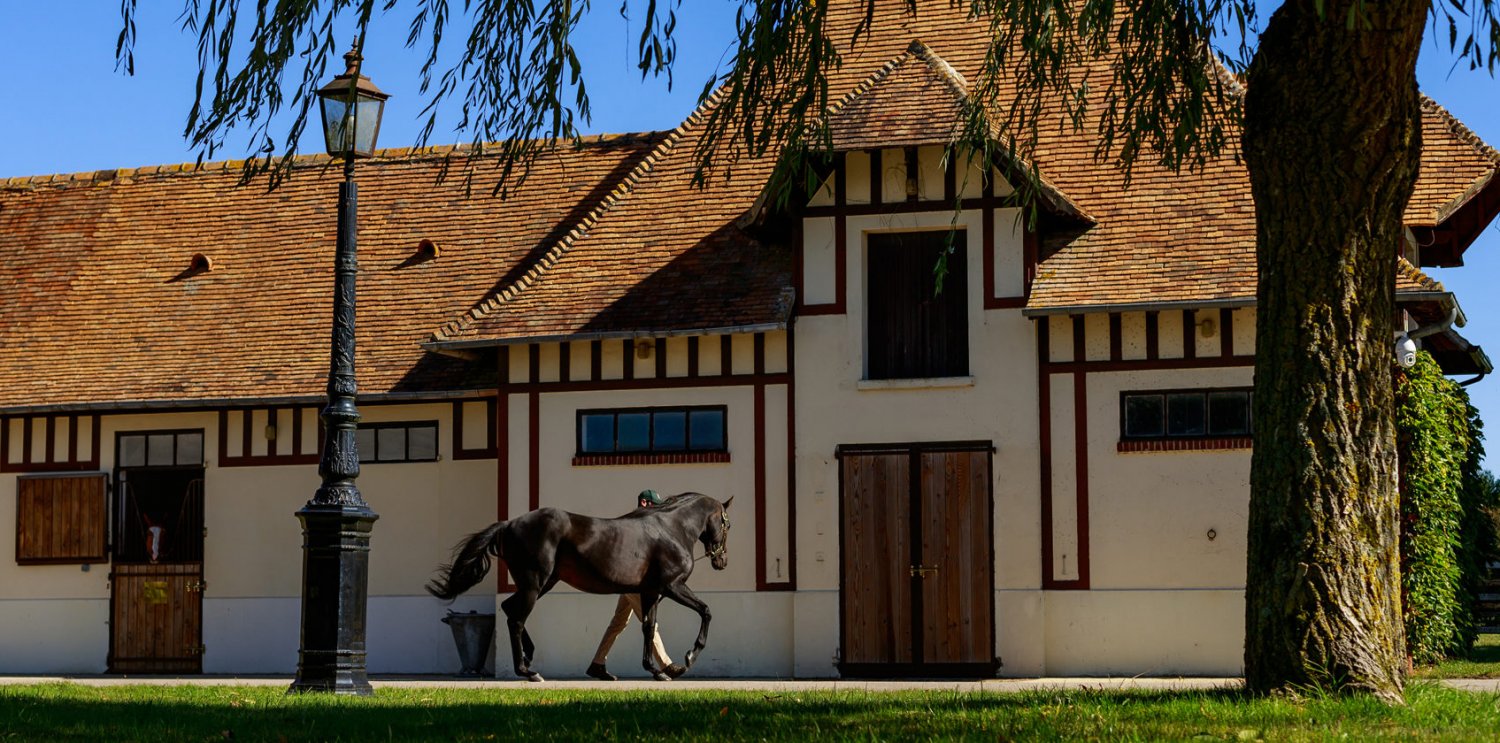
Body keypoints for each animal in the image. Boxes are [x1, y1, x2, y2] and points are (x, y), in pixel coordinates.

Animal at [427, 492, 733, 682]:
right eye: (727, 524)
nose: (722, 561)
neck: (671, 528)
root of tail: (508, 525)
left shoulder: (650, 592)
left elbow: (649, 628)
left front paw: (660, 670)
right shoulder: (672, 586)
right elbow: (706, 611)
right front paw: (689, 656)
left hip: (542, 583)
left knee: (509, 608)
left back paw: (531, 658)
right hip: (534, 583)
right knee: (516, 618)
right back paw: (528, 671)